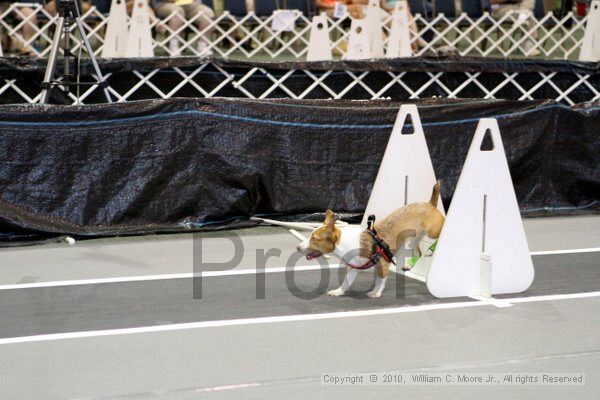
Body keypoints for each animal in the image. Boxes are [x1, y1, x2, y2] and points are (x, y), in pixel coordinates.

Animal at [298, 183, 442, 298]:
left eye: (314, 239)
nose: (298, 248)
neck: (344, 244)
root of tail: (429, 204)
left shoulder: (383, 264)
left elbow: (381, 280)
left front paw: (376, 292)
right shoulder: (354, 268)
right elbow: (346, 282)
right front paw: (338, 292)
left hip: (433, 232)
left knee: (440, 233)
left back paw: (432, 250)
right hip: (412, 239)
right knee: (418, 251)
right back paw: (410, 264)